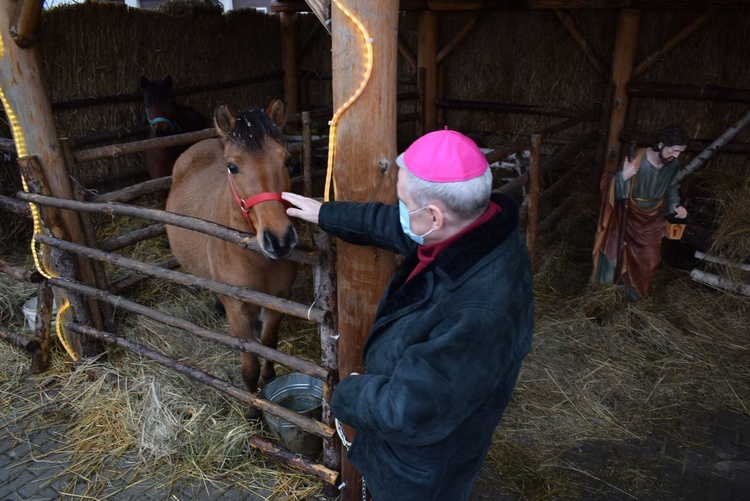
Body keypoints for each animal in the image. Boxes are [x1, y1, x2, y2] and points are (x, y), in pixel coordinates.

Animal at [167, 98, 300, 418]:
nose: (279, 240)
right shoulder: (238, 311)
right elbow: (249, 363)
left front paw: (270, 380)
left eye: (287, 160)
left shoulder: (278, 300)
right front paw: (253, 411)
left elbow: (268, 344)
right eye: (232, 166)